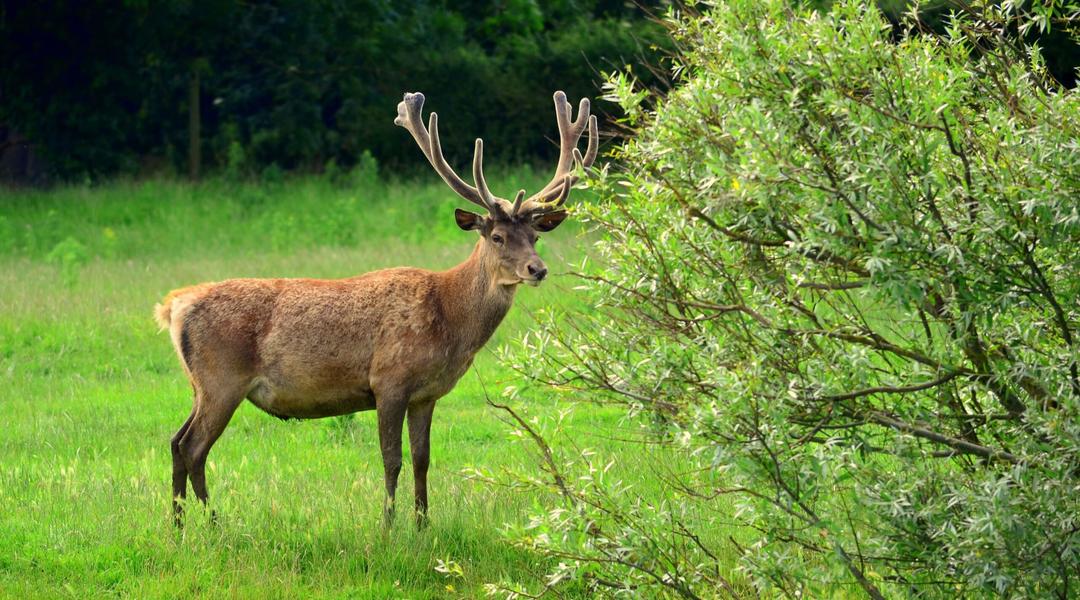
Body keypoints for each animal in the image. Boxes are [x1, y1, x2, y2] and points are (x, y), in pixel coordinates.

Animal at [154, 90, 597, 527]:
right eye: (498, 237)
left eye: (535, 237)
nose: (537, 269)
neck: (449, 320)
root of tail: (174, 306)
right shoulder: (388, 379)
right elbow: (392, 460)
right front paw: (387, 526)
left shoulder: (425, 394)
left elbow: (422, 460)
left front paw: (423, 525)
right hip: (222, 379)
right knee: (193, 447)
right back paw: (212, 523)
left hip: (200, 385)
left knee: (176, 442)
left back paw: (178, 525)